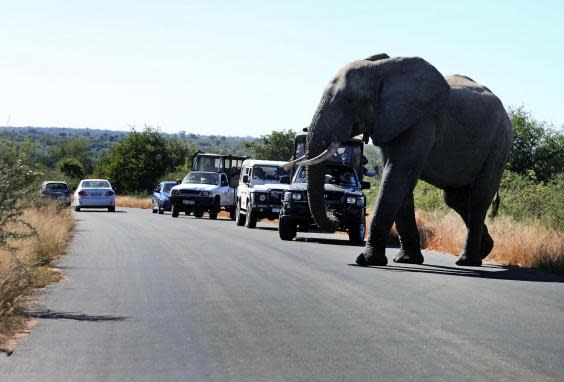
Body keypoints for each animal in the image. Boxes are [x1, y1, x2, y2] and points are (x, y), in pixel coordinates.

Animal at [298, 53, 512, 268]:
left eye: (350, 100)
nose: (335, 216)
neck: (381, 69)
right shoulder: (391, 123)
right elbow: (398, 181)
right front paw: (407, 260)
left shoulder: (422, 122)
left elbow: (396, 176)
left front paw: (366, 260)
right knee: (455, 198)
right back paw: (485, 250)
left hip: (499, 143)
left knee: (479, 196)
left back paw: (467, 261)